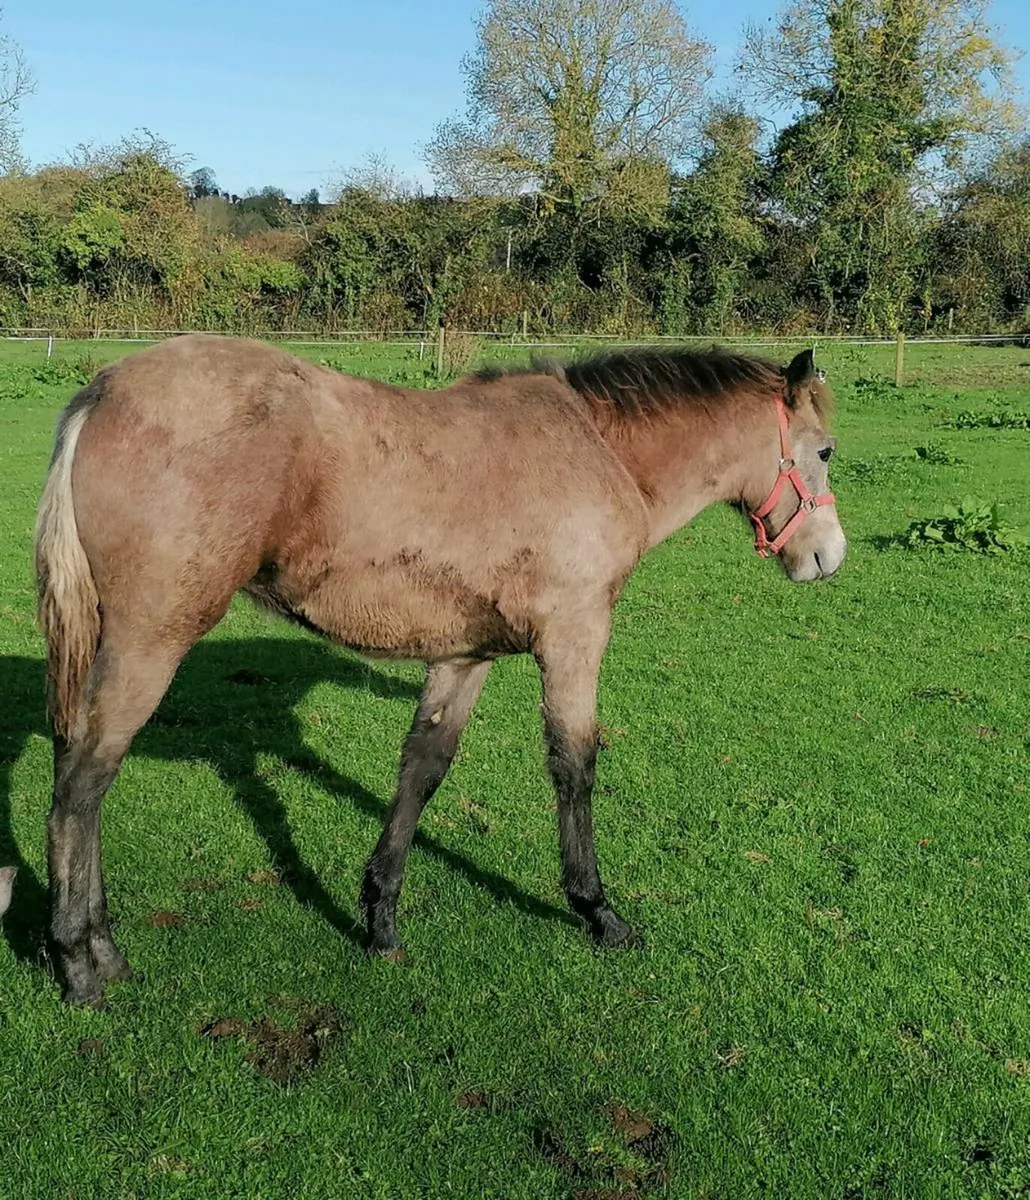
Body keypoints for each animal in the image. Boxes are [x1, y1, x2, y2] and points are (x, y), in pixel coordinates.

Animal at [35, 334, 845, 1006]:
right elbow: (574, 766)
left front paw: (380, 920)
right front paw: (597, 911)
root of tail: (102, 390)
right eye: (826, 451)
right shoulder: (575, 637)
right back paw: (80, 963)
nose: (828, 557)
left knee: (81, 770)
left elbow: (422, 769)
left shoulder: (463, 656)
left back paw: (104, 952)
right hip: (150, 642)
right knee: (82, 785)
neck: (598, 450)